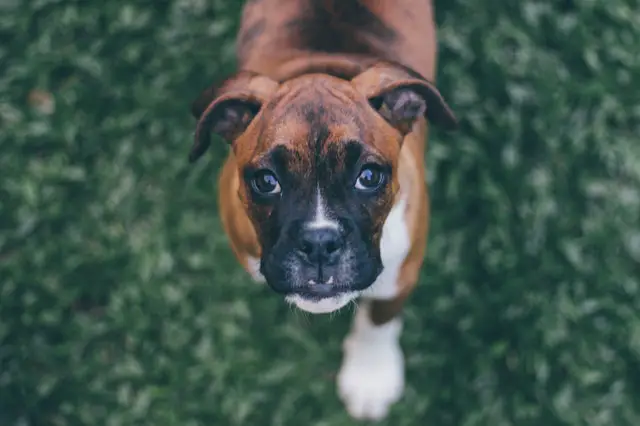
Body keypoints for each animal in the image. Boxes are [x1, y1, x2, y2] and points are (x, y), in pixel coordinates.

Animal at [188, 0, 458, 420]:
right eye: (266, 181)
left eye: (369, 176)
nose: (319, 244)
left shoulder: (402, 272)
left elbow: (379, 321)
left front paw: (371, 376)